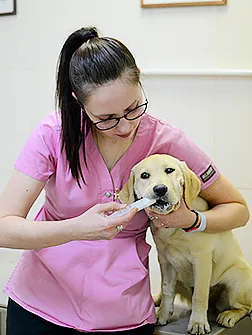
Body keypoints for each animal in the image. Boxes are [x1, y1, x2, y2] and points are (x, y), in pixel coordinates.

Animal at [119, 155, 252, 335]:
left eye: (169, 170)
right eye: (144, 175)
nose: (160, 189)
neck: (173, 230)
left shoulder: (202, 261)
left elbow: (199, 295)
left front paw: (198, 323)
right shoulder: (165, 261)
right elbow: (167, 290)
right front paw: (162, 315)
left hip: (236, 281)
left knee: (245, 307)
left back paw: (229, 315)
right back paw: (156, 300)